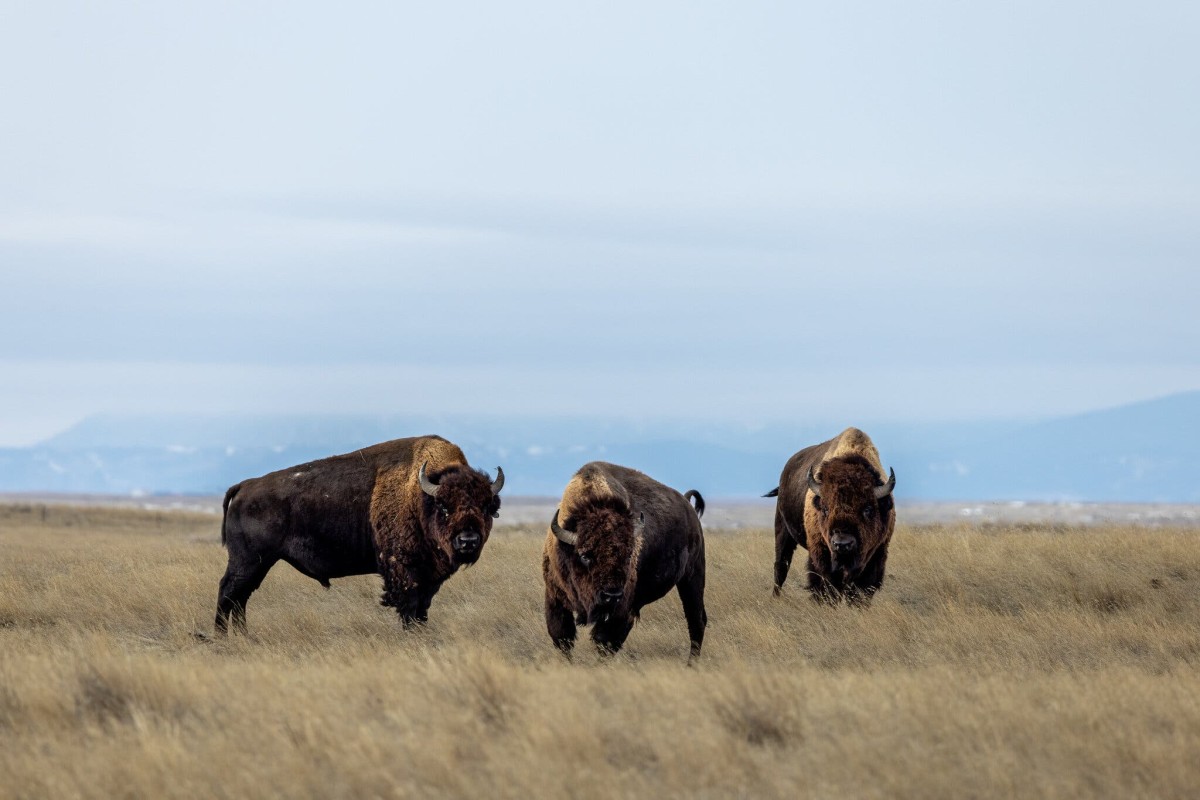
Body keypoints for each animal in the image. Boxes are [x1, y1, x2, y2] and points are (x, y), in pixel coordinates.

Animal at [215, 435, 503, 633]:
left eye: (485, 506)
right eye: (444, 506)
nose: (468, 541)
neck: (420, 498)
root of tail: (245, 486)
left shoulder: (429, 578)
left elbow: (423, 608)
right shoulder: (406, 573)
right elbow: (410, 607)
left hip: (259, 564)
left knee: (240, 598)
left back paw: (242, 635)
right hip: (248, 561)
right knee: (229, 592)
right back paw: (221, 636)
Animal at [542, 462, 707, 661]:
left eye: (628, 555)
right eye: (585, 556)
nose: (611, 596)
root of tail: (687, 504)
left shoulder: (621, 611)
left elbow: (605, 642)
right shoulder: (555, 597)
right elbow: (562, 637)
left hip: (693, 577)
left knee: (696, 620)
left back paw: (691, 663)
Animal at [765, 427, 896, 603]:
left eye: (868, 509)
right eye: (825, 509)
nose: (842, 544)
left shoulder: (877, 554)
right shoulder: (821, 553)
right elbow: (825, 583)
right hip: (782, 530)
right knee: (781, 565)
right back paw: (775, 597)